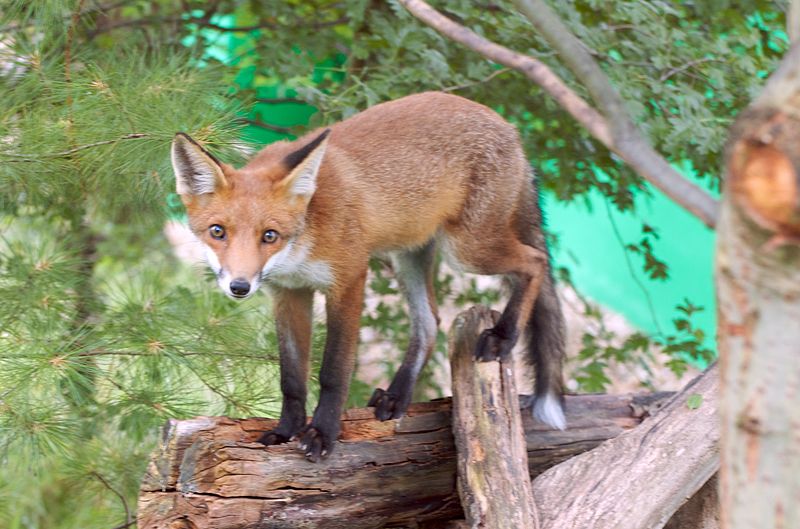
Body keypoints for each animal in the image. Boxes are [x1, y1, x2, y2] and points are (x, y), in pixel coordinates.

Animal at [172, 93, 564, 460]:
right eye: (218, 232)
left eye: (269, 236)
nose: (239, 286)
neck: (302, 240)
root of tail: (509, 127)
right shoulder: (289, 292)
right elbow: (292, 378)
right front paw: (285, 432)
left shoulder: (348, 278)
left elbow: (333, 372)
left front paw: (322, 434)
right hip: (409, 256)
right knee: (430, 323)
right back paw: (397, 396)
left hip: (467, 250)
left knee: (536, 262)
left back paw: (503, 336)